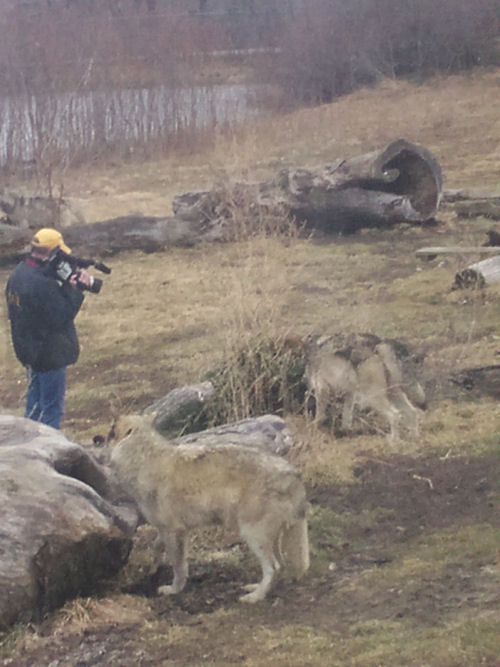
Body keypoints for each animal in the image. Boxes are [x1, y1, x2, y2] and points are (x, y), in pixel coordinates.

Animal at [109, 413, 310, 603]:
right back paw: (258, 588)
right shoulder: (167, 529)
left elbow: (178, 566)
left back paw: (255, 597)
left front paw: (174, 589)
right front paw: (153, 569)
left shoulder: (175, 531)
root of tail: (293, 474)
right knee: (281, 565)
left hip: (252, 535)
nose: (100, 438)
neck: (144, 459)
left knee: (273, 567)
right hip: (270, 537)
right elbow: (157, 546)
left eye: (110, 431)